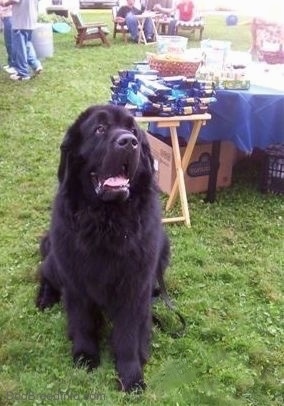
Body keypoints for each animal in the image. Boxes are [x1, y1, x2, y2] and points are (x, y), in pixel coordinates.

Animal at [35, 104, 169, 394]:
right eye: (99, 129)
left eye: (133, 131)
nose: (128, 142)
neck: (107, 221)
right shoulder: (75, 281)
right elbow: (83, 321)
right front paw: (85, 356)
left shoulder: (134, 286)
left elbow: (128, 335)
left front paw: (131, 375)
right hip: (56, 258)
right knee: (44, 272)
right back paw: (45, 298)